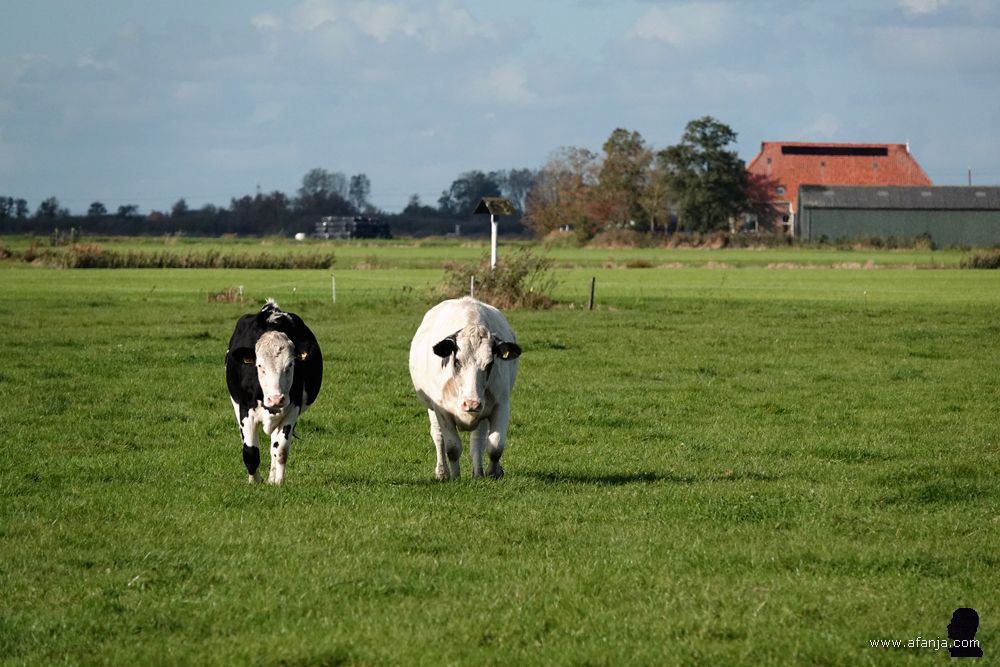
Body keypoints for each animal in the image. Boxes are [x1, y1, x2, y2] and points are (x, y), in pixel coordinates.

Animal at [225, 299, 323, 484]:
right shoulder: (245, 409)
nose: (275, 399)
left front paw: (277, 482)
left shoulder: (293, 408)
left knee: (274, 445)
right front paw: (255, 482)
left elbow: (281, 450)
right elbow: (250, 452)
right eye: (259, 365)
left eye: (290, 365)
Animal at [408, 297, 522, 480]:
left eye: (490, 363)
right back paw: (442, 472)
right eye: (457, 361)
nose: (471, 404)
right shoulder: (441, 410)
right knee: (438, 436)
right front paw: (455, 476)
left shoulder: (501, 405)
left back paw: (478, 473)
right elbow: (452, 447)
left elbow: (495, 446)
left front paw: (493, 472)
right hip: (431, 408)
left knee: (478, 439)